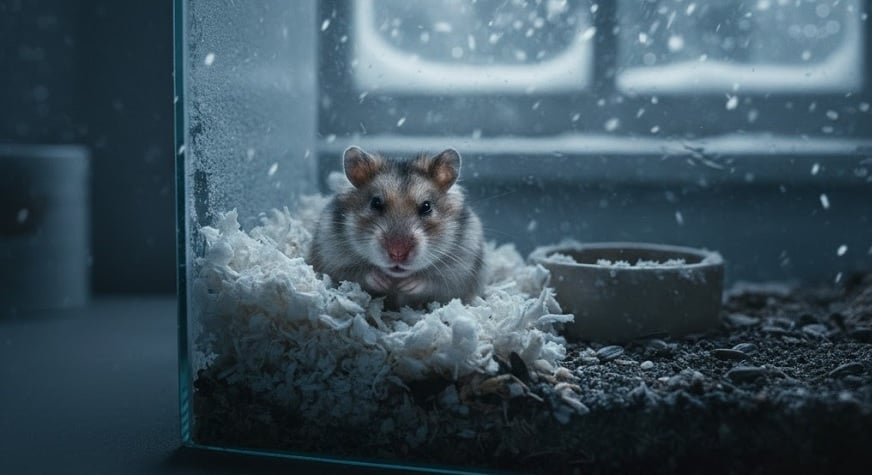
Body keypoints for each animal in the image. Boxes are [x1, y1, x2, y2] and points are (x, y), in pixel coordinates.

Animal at [308, 146, 485, 310]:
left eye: (426, 206)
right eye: (375, 203)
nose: (397, 253)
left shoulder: (460, 272)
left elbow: (434, 282)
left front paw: (407, 285)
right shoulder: (332, 260)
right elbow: (357, 274)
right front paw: (382, 281)